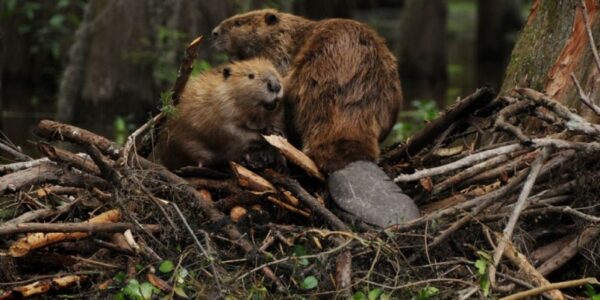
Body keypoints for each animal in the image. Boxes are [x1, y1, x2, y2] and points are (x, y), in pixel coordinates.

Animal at [155, 58, 286, 171]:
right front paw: (269, 134)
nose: (275, 85)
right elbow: (232, 132)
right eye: (251, 75)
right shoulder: (221, 110)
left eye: (276, 72)